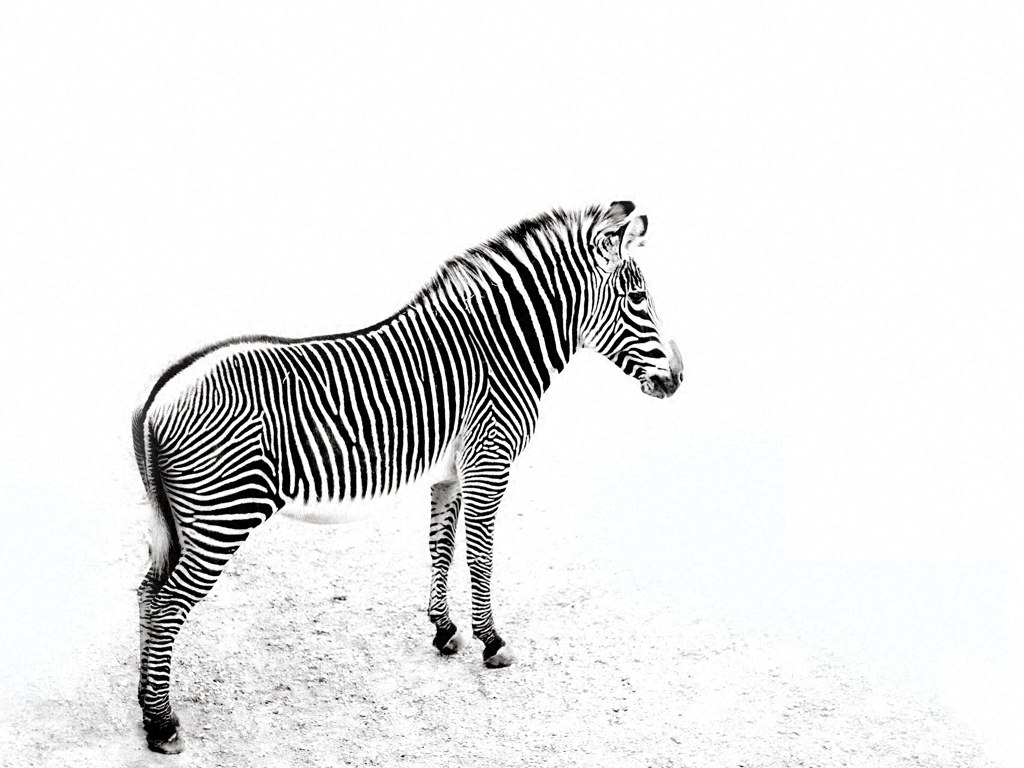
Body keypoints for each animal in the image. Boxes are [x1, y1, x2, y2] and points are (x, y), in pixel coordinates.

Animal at [132, 201, 683, 753]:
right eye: (638, 298)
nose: (677, 380)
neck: (497, 349)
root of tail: (159, 394)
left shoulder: (452, 473)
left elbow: (442, 547)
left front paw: (445, 629)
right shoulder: (491, 460)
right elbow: (479, 556)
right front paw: (492, 641)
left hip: (180, 522)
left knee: (146, 593)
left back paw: (146, 706)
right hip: (223, 515)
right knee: (166, 605)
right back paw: (163, 725)